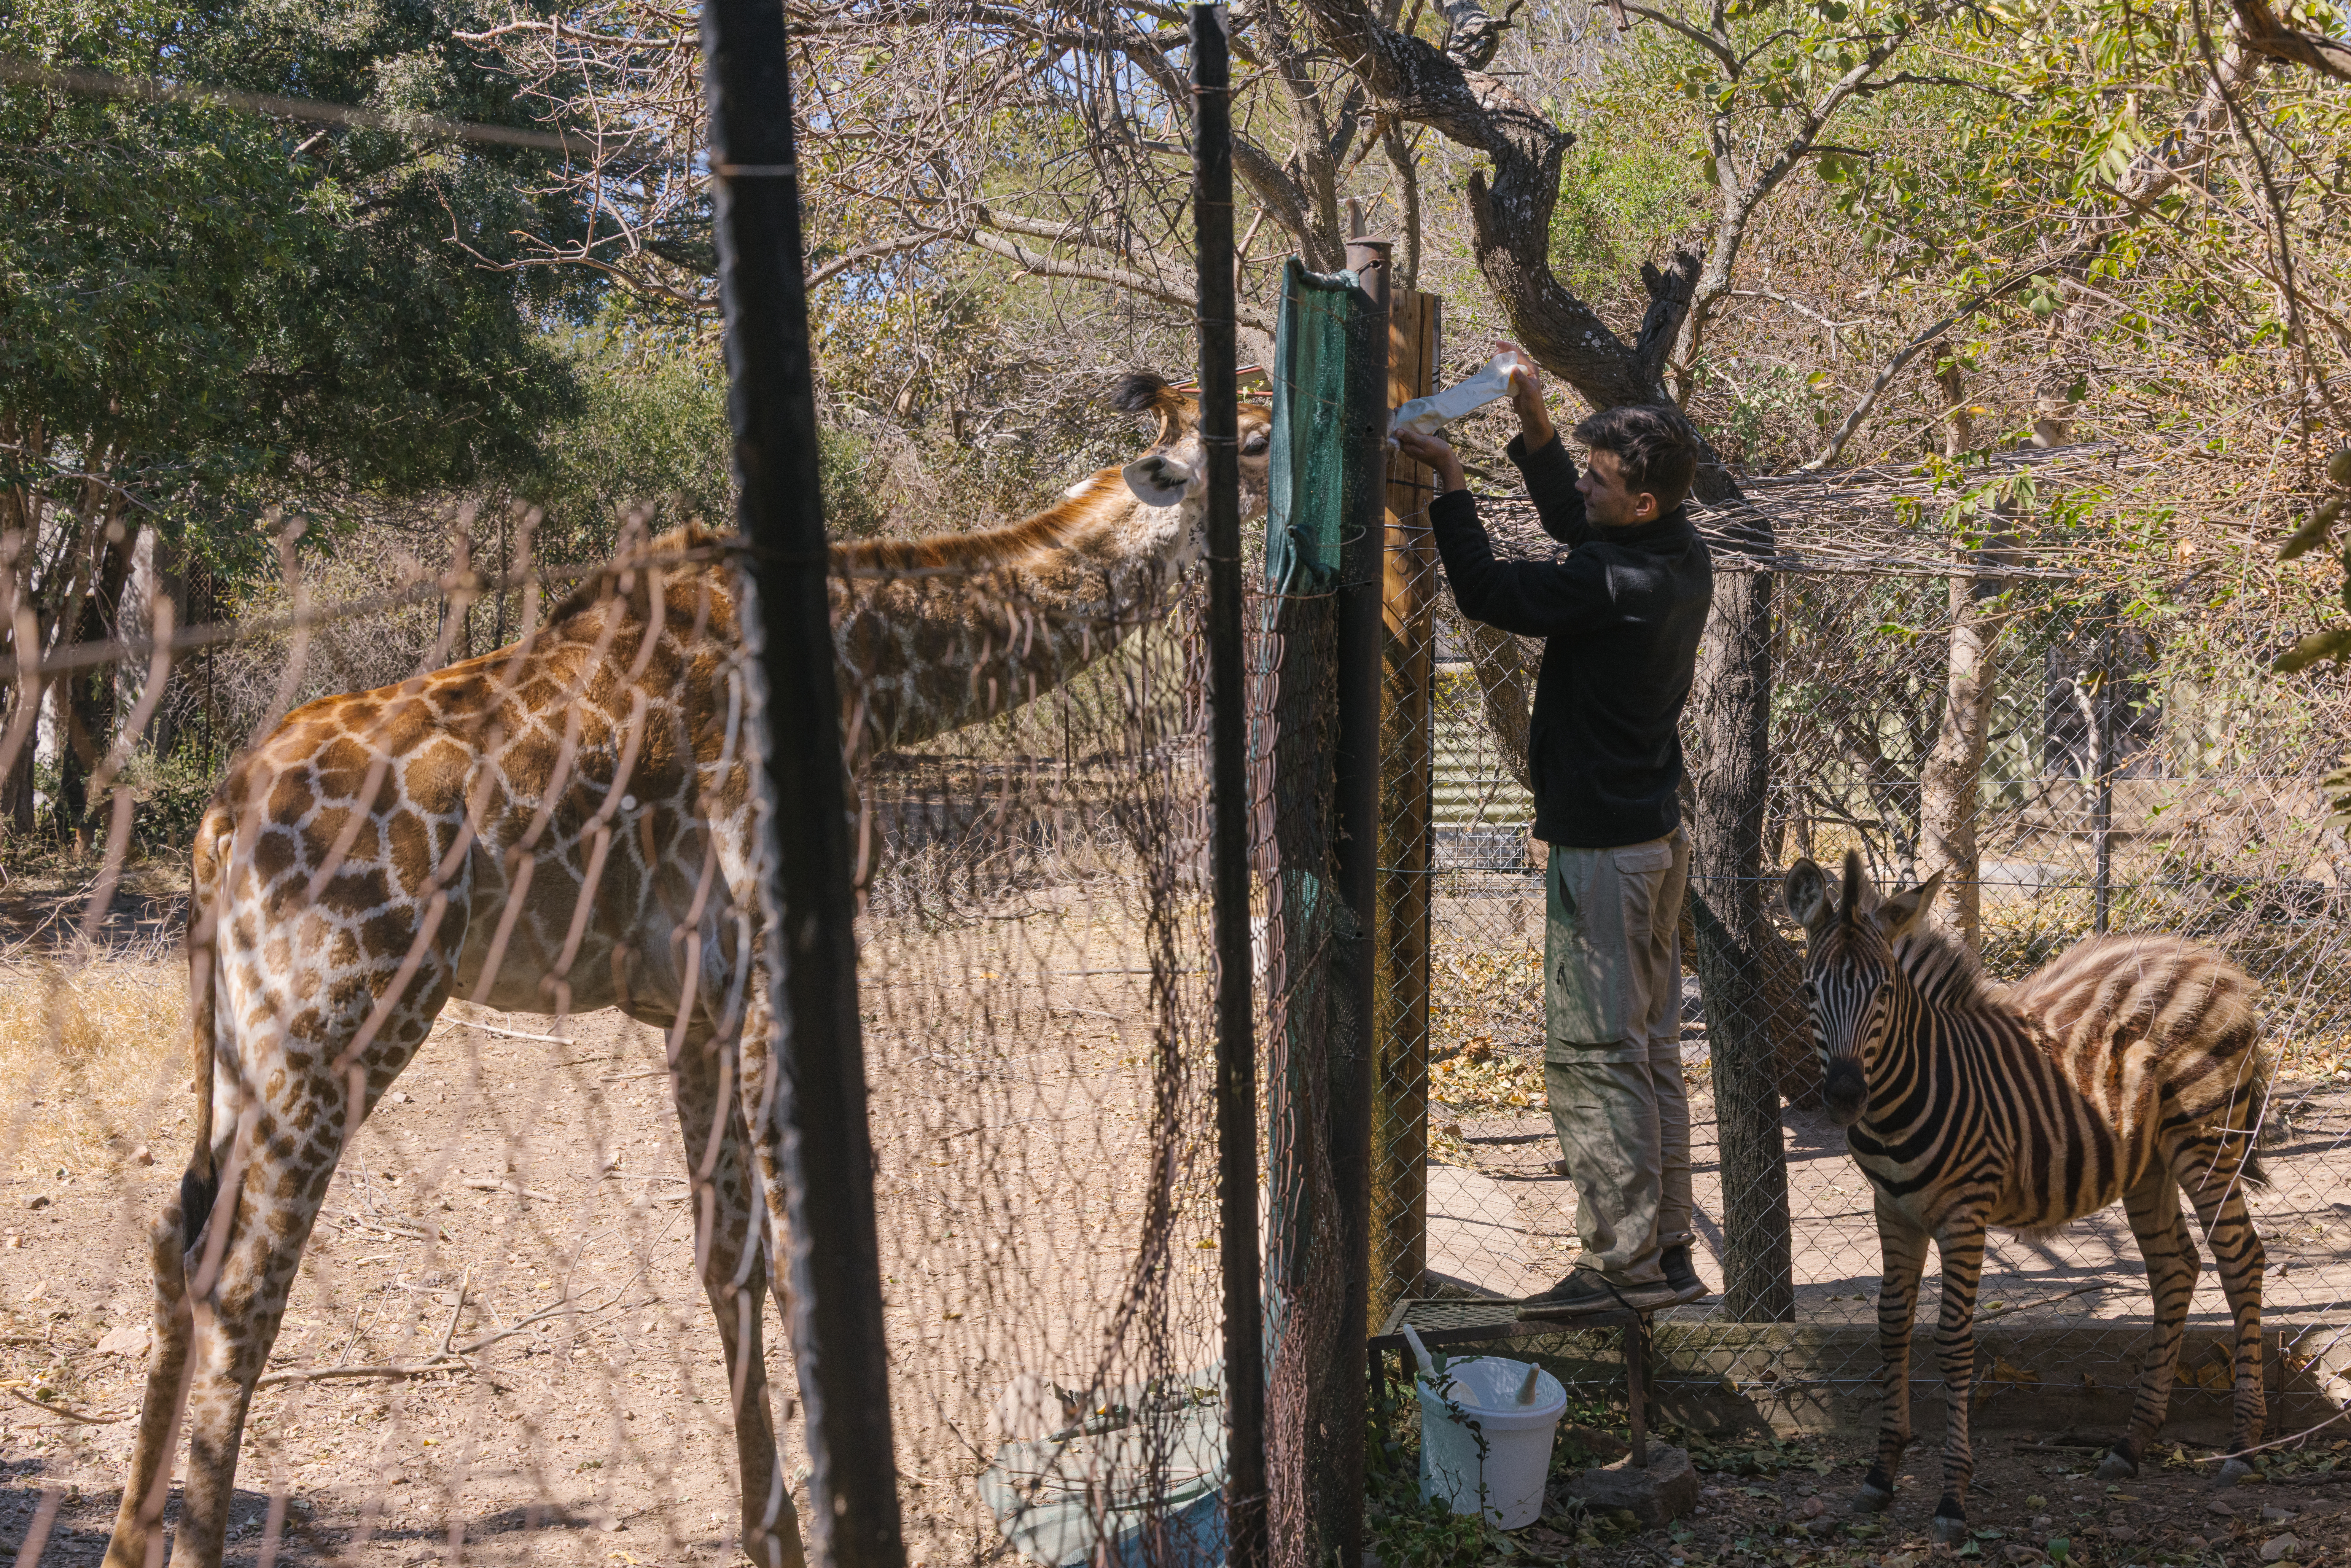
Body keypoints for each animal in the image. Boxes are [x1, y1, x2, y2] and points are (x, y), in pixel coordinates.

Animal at [101, 371, 1269, 1568]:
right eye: (1258, 441)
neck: (868, 667)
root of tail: (219, 826)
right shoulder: (759, 960)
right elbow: (788, 1250)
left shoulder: (689, 1006)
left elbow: (723, 1254)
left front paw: (773, 1532)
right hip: (346, 1015)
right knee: (248, 1281)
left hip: (241, 1036)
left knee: (177, 1241)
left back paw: (126, 1544)